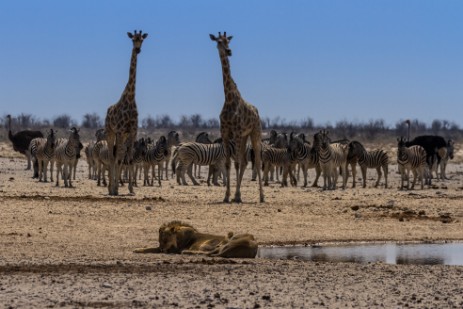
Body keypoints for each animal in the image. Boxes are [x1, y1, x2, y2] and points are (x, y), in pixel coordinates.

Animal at [105, 29, 149, 195]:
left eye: (142, 40)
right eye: (133, 40)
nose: (137, 50)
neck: (130, 98)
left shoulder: (132, 132)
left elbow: (128, 159)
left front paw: (131, 189)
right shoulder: (119, 130)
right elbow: (117, 158)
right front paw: (115, 188)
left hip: (122, 135)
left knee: (120, 156)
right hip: (110, 132)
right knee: (112, 156)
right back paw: (111, 188)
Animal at [132, 219, 260, 258]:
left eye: (166, 239)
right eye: (160, 240)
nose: (163, 249)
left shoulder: (174, 249)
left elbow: (152, 249)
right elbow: (150, 248)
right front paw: (137, 249)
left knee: (208, 252)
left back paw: (187, 251)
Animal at [210, 32, 264, 203]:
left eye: (228, 41)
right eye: (219, 41)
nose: (229, 51)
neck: (228, 98)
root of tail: (257, 111)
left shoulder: (238, 132)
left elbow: (237, 163)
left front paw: (237, 196)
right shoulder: (225, 132)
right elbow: (228, 163)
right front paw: (227, 196)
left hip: (254, 133)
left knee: (257, 161)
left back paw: (262, 196)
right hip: (245, 136)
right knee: (245, 161)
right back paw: (236, 195)